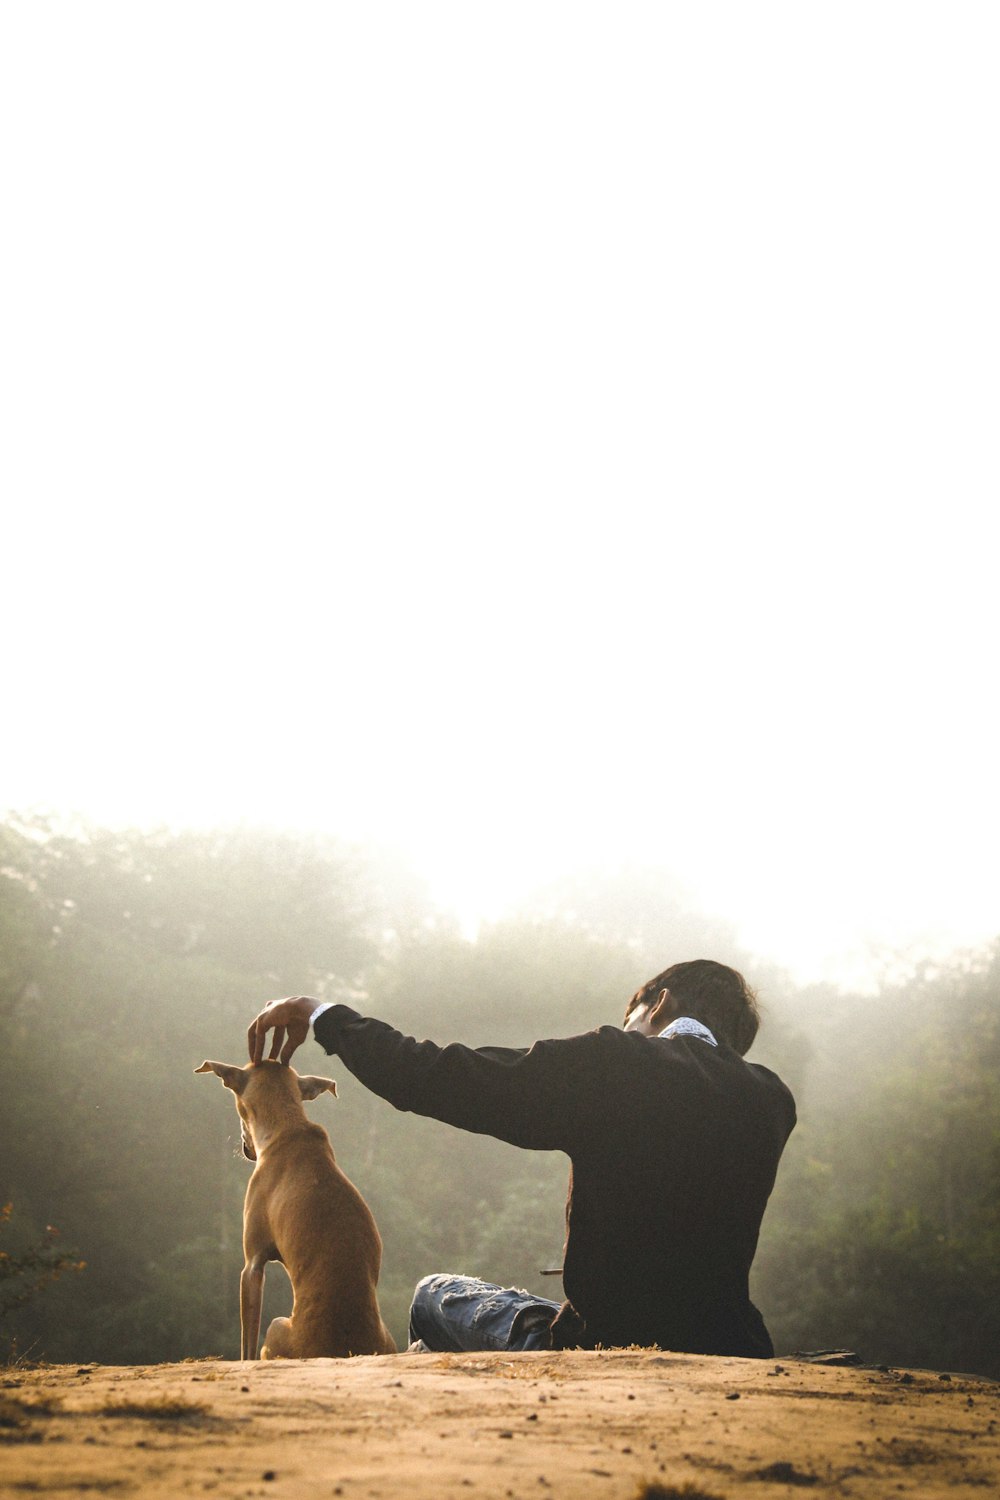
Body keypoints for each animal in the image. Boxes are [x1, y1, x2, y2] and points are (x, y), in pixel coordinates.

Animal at [194, 1056, 398, 1362]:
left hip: (277, 1326)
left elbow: (247, 1345)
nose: (247, 1149)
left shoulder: (252, 1264)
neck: (288, 1127)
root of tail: (345, 1348)